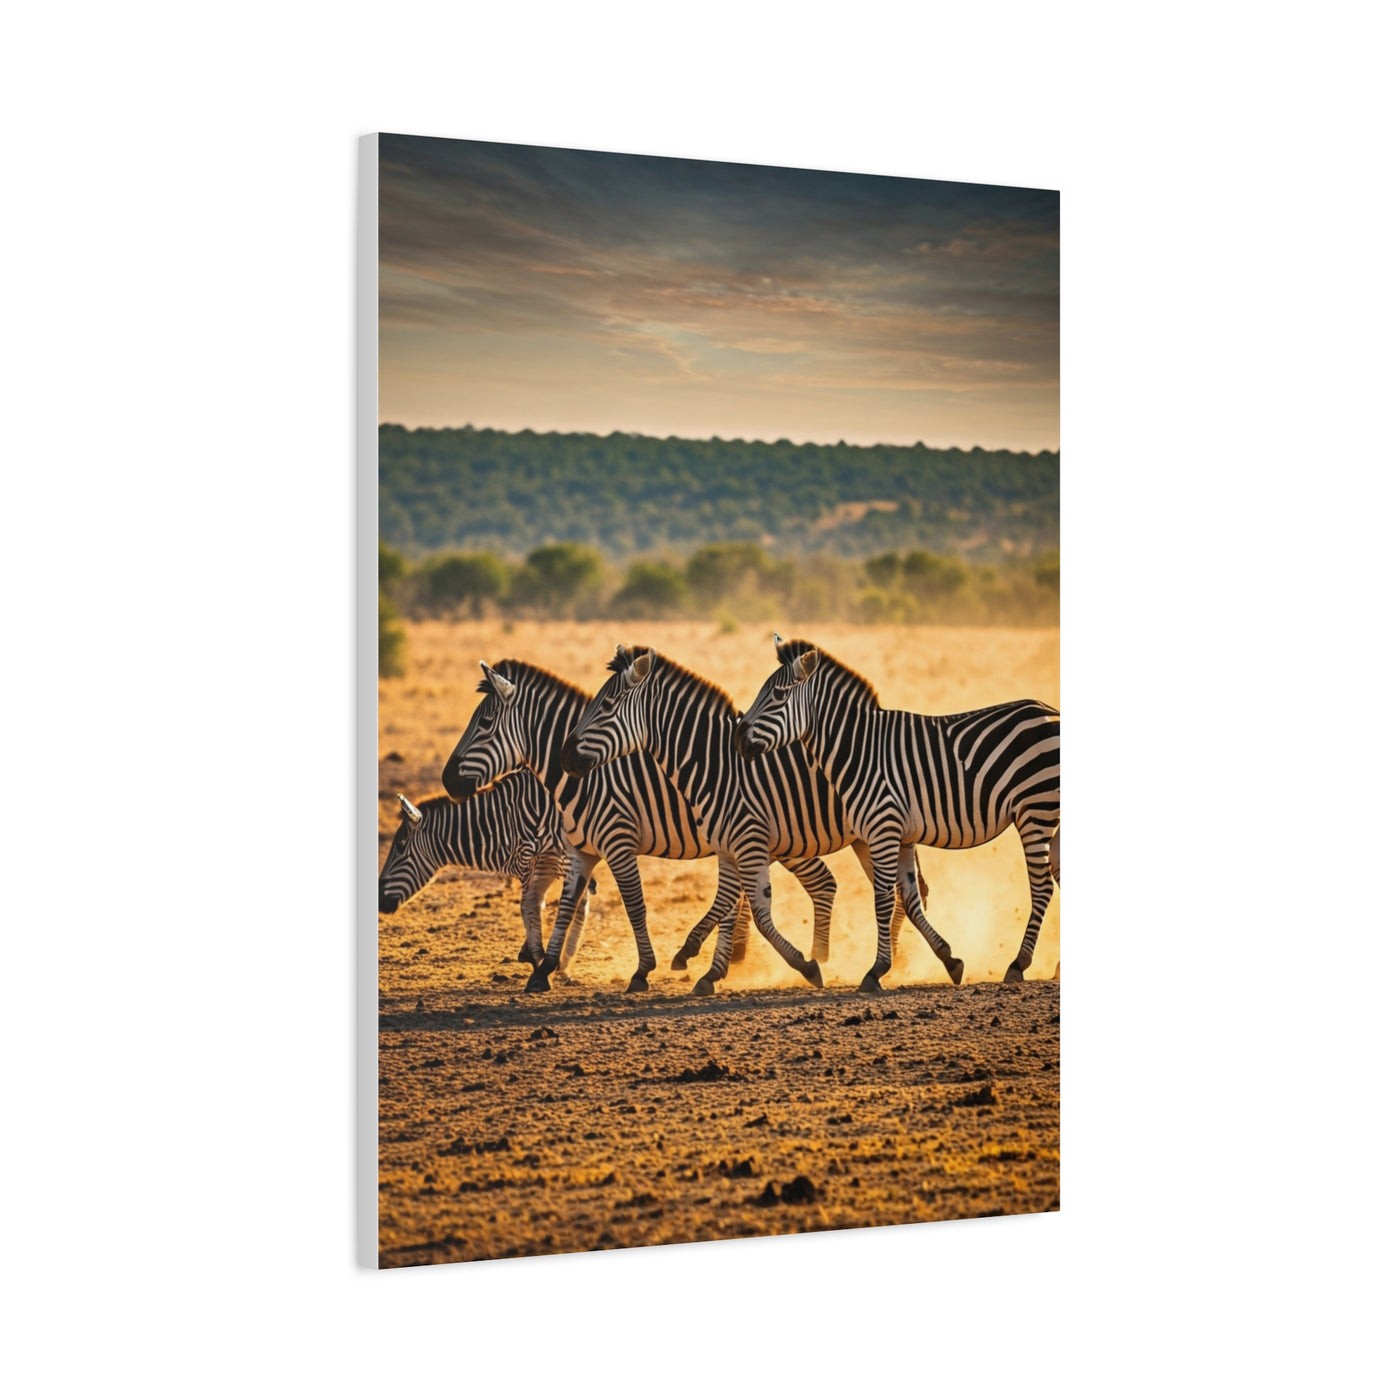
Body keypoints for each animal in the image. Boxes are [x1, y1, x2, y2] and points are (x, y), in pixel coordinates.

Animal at [377, 775, 591, 975]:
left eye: (400, 846)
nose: (379, 902)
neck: (507, 823)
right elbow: (550, 902)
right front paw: (553, 961)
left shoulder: (549, 858)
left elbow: (542, 904)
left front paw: (547, 960)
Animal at [440, 660, 850, 994]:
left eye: (485, 724)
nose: (446, 781)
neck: (585, 780)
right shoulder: (580, 850)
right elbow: (566, 906)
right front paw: (543, 971)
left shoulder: (617, 842)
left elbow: (634, 904)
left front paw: (642, 972)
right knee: (808, 884)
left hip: (784, 836)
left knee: (816, 883)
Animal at [560, 645, 953, 997]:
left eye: (606, 705)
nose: (565, 756)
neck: (716, 764)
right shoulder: (728, 845)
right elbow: (729, 903)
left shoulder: (730, 840)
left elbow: (740, 909)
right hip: (865, 837)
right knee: (900, 889)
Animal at [735, 636, 1060, 988]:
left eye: (778, 696)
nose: (737, 739)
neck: (859, 750)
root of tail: (1051, 711)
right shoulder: (902, 836)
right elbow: (911, 899)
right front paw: (950, 960)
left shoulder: (883, 829)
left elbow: (883, 899)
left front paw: (876, 970)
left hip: (1035, 810)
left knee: (1042, 886)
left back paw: (1018, 964)